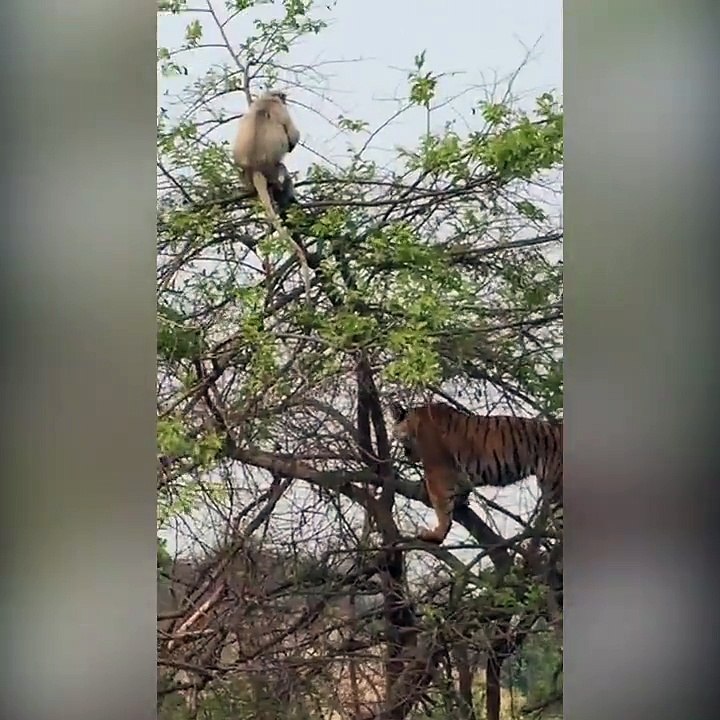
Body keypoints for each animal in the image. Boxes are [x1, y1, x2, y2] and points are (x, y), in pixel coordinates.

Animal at [232, 90, 311, 297]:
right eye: (282, 98)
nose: (285, 98)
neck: (266, 100)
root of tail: (255, 169)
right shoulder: (280, 109)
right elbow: (292, 137)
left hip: (245, 177)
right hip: (274, 172)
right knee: (282, 173)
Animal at [388, 400, 563, 544]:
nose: (406, 455)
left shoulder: (437, 472)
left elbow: (442, 507)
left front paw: (436, 535)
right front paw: (461, 501)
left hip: (556, 487)